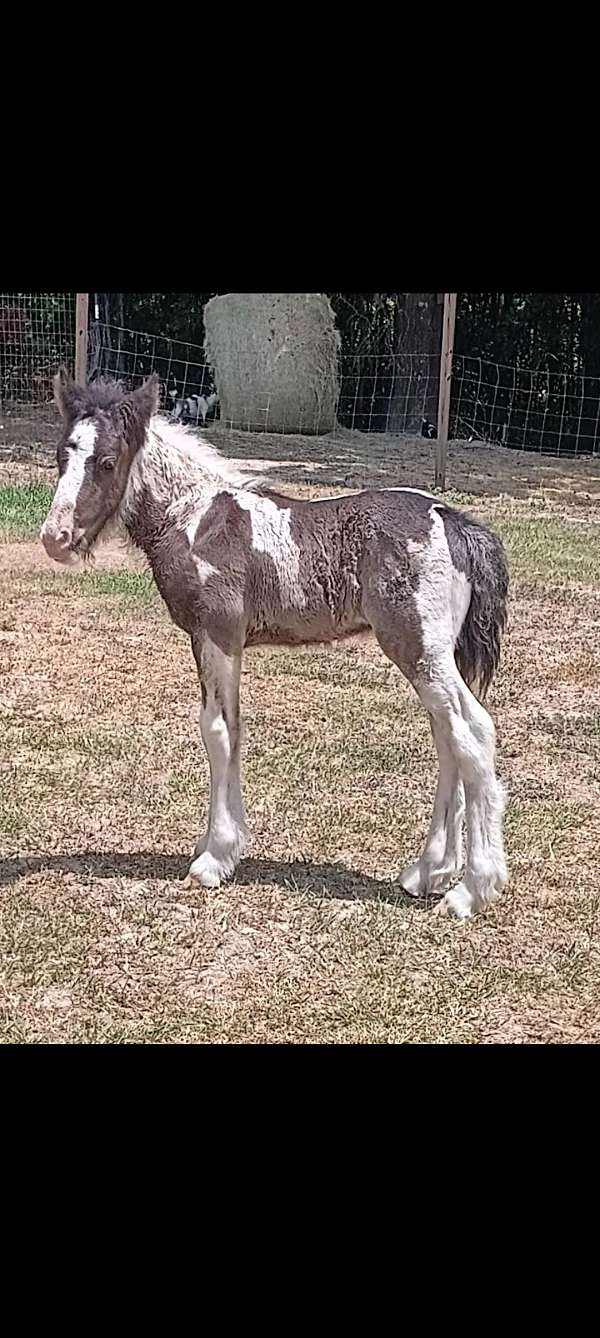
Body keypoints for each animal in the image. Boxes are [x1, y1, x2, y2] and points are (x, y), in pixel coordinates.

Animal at [39, 369, 508, 920]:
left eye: (108, 461)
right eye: (61, 456)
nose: (55, 537)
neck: (192, 518)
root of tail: (452, 520)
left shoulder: (219, 635)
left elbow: (218, 732)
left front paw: (215, 858)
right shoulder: (211, 640)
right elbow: (230, 728)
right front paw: (217, 845)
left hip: (418, 648)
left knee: (472, 732)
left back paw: (471, 888)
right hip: (434, 656)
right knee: (447, 737)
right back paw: (428, 871)